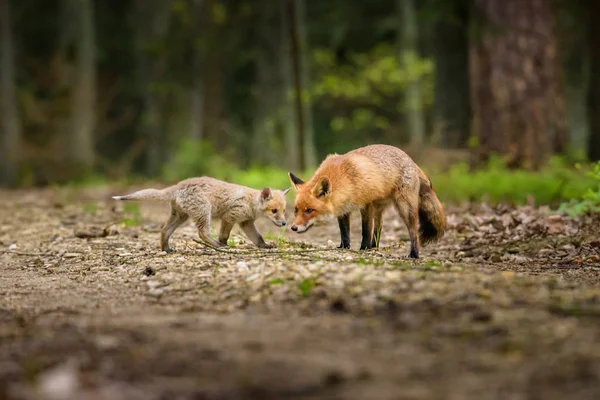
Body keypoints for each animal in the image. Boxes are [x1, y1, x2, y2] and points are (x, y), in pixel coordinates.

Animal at [288, 145, 448, 258]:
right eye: (295, 210)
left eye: (310, 210)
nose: (294, 228)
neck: (347, 179)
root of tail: (412, 160)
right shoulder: (344, 210)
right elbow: (344, 232)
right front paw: (344, 247)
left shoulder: (366, 204)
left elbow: (365, 229)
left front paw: (363, 248)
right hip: (379, 209)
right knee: (378, 229)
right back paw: (374, 248)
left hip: (405, 208)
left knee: (413, 232)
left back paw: (413, 254)